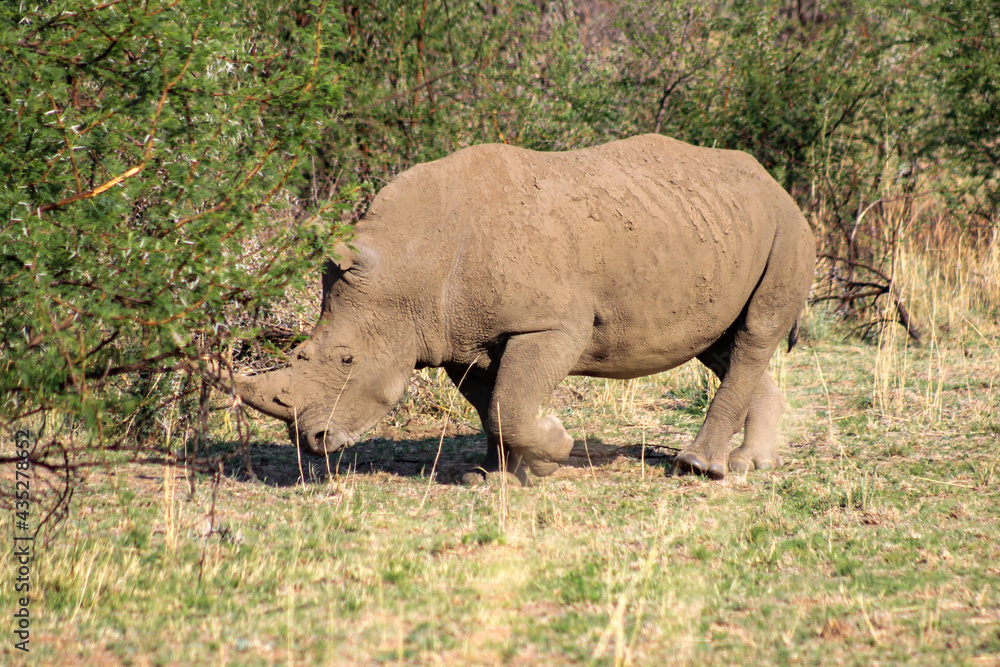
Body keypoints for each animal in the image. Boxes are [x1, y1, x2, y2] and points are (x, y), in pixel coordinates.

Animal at [233, 134, 815, 482]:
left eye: (347, 360)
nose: (312, 442)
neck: (410, 261)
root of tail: (774, 182)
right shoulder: (459, 336)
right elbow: (489, 406)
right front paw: (493, 478)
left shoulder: (548, 325)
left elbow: (510, 405)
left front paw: (553, 448)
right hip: (721, 230)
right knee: (722, 345)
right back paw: (753, 463)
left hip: (787, 227)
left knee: (754, 333)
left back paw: (698, 468)